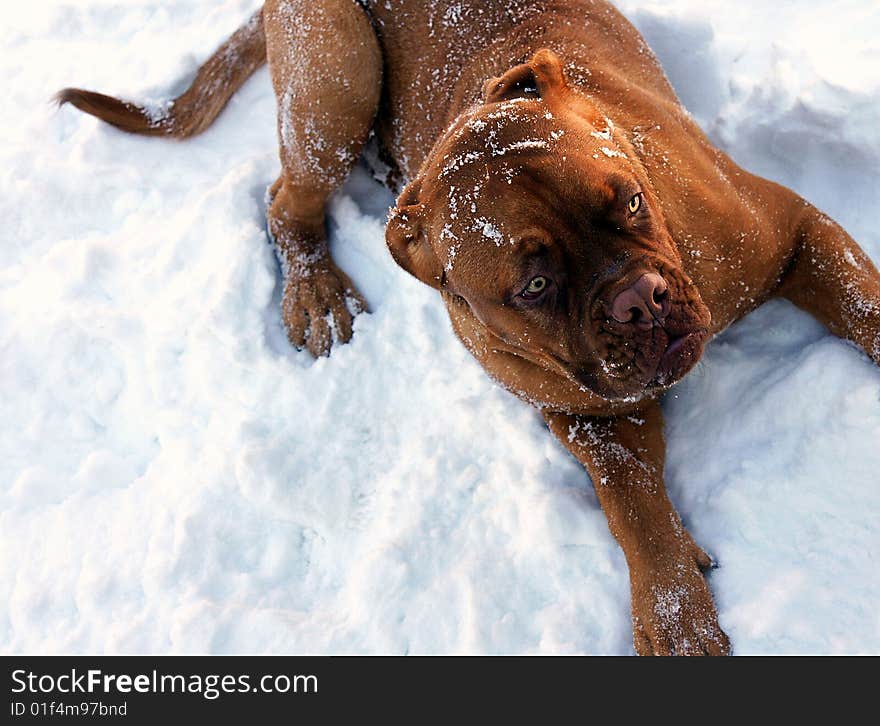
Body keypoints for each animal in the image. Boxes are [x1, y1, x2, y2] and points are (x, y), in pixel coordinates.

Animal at [58, 1, 880, 660]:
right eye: (536, 287)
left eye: (630, 202)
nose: (639, 301)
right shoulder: (587, 416)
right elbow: (634, 510)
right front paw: (675, 609)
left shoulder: (797, 234)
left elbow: (865, 305)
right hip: (337, 67)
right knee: (287, 200)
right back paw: (317, 289)